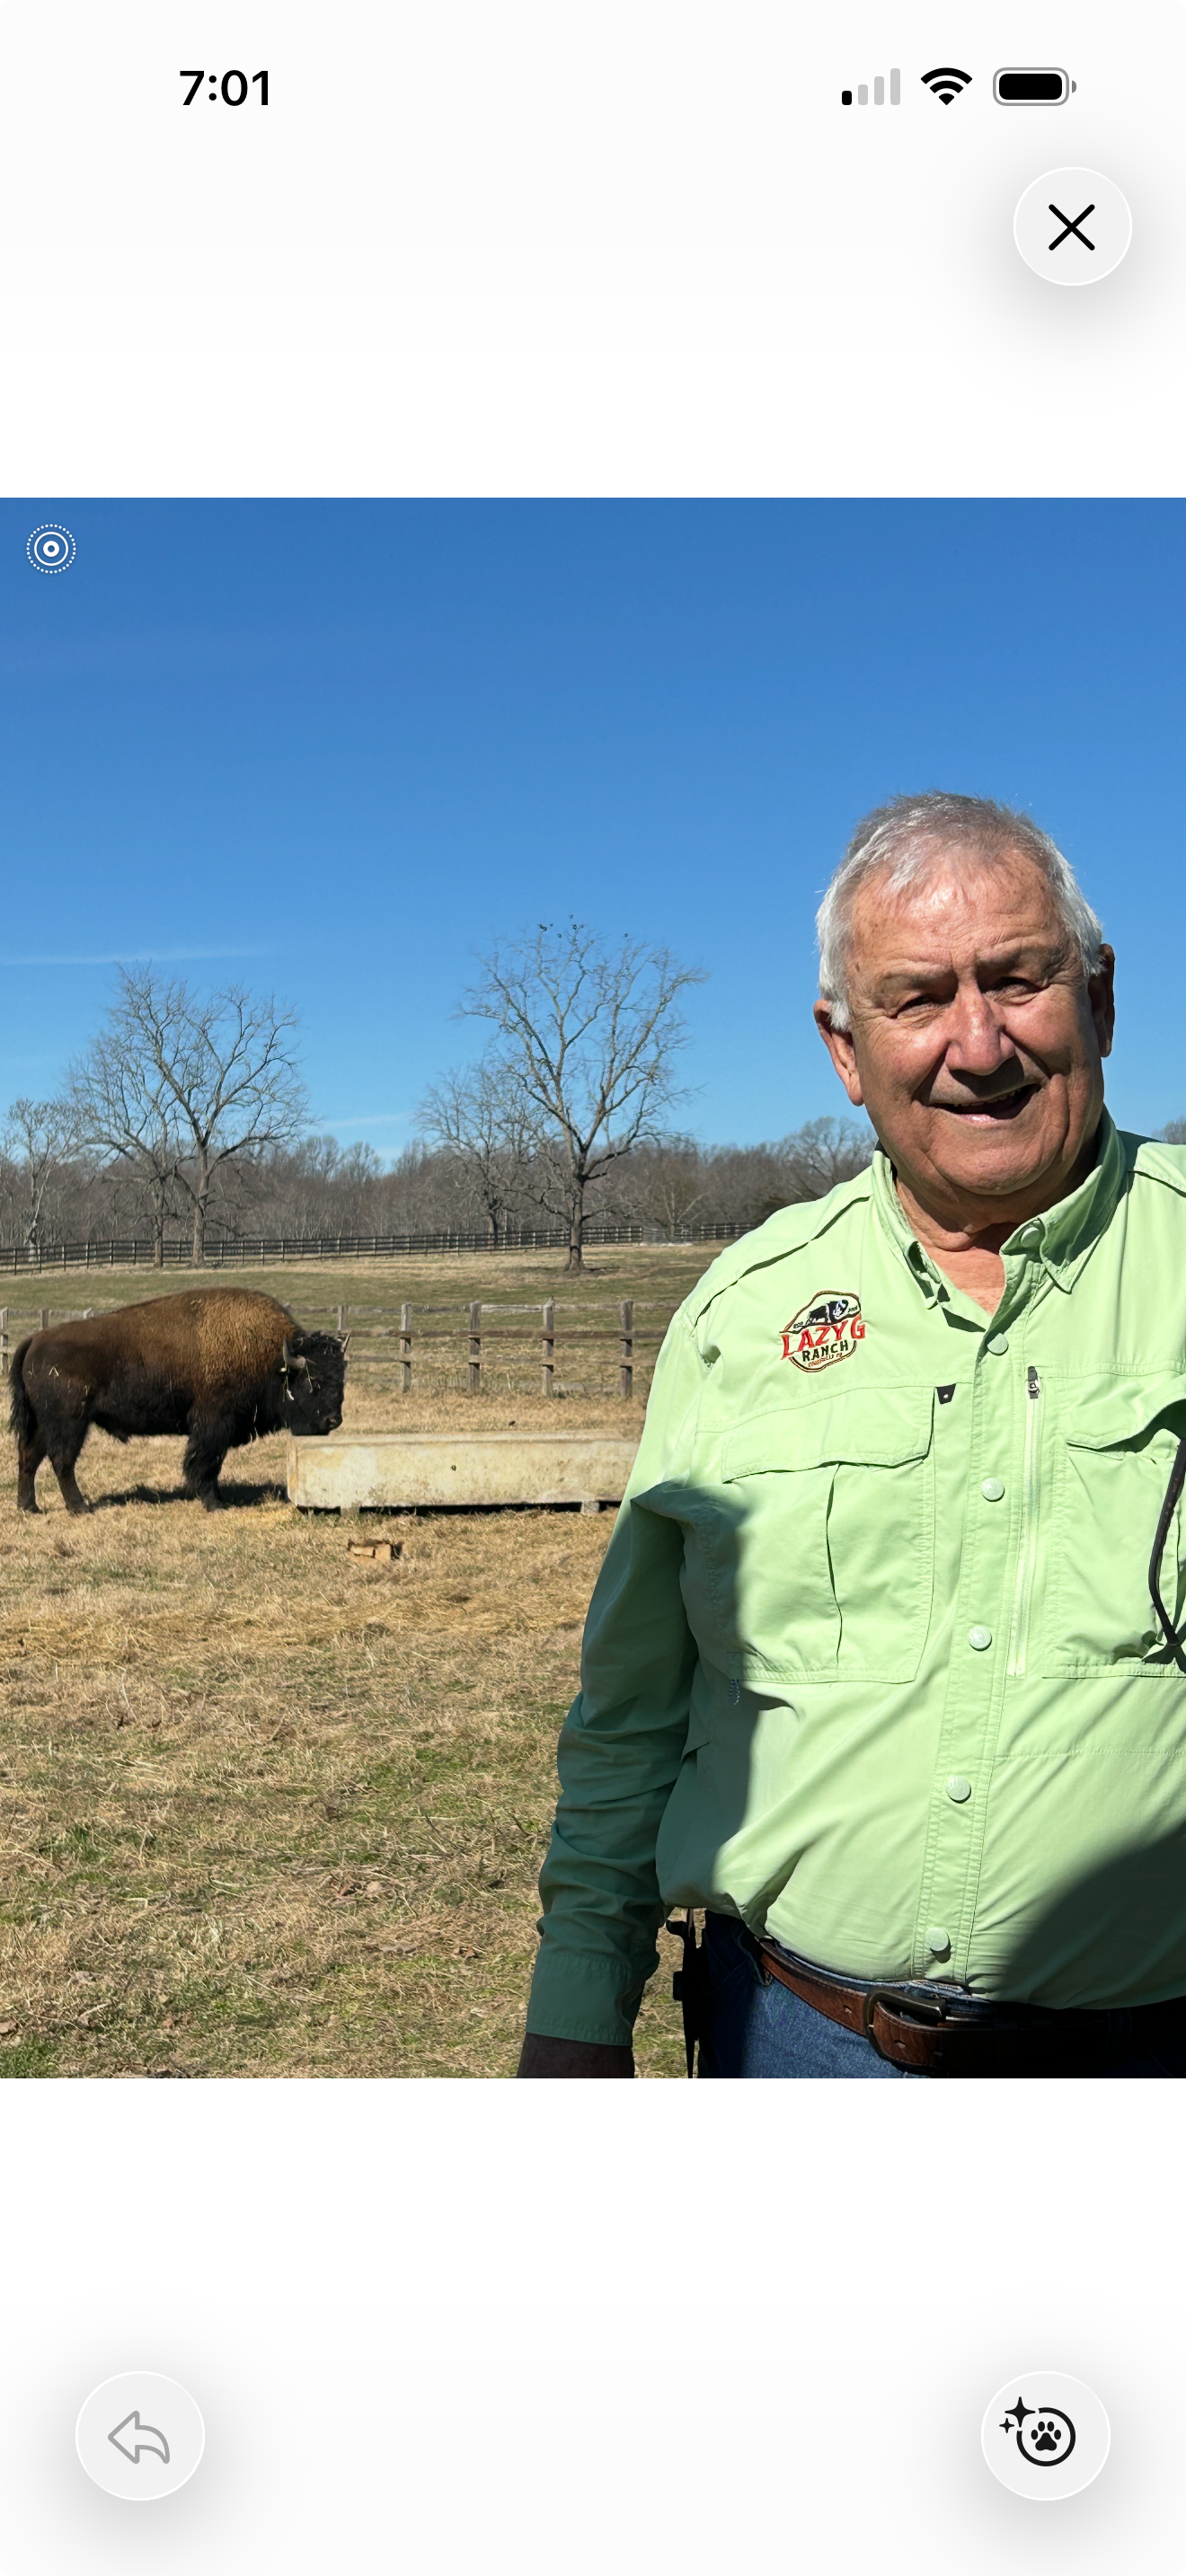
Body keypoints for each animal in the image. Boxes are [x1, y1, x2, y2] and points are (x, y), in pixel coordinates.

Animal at [9, 1287, 345, 1514]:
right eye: (312, 1381)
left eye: (341, 1377)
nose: (333, 1420)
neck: (271, 1359)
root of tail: (35, 1339)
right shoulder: (213, 1425)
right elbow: (205, 1463)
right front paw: (214, 1503)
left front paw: (218, 1499)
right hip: (70, 1423)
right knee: (61, 1460)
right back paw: (79, 1507)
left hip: (42, 1424)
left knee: (29, 1458)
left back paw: (30, 1507)